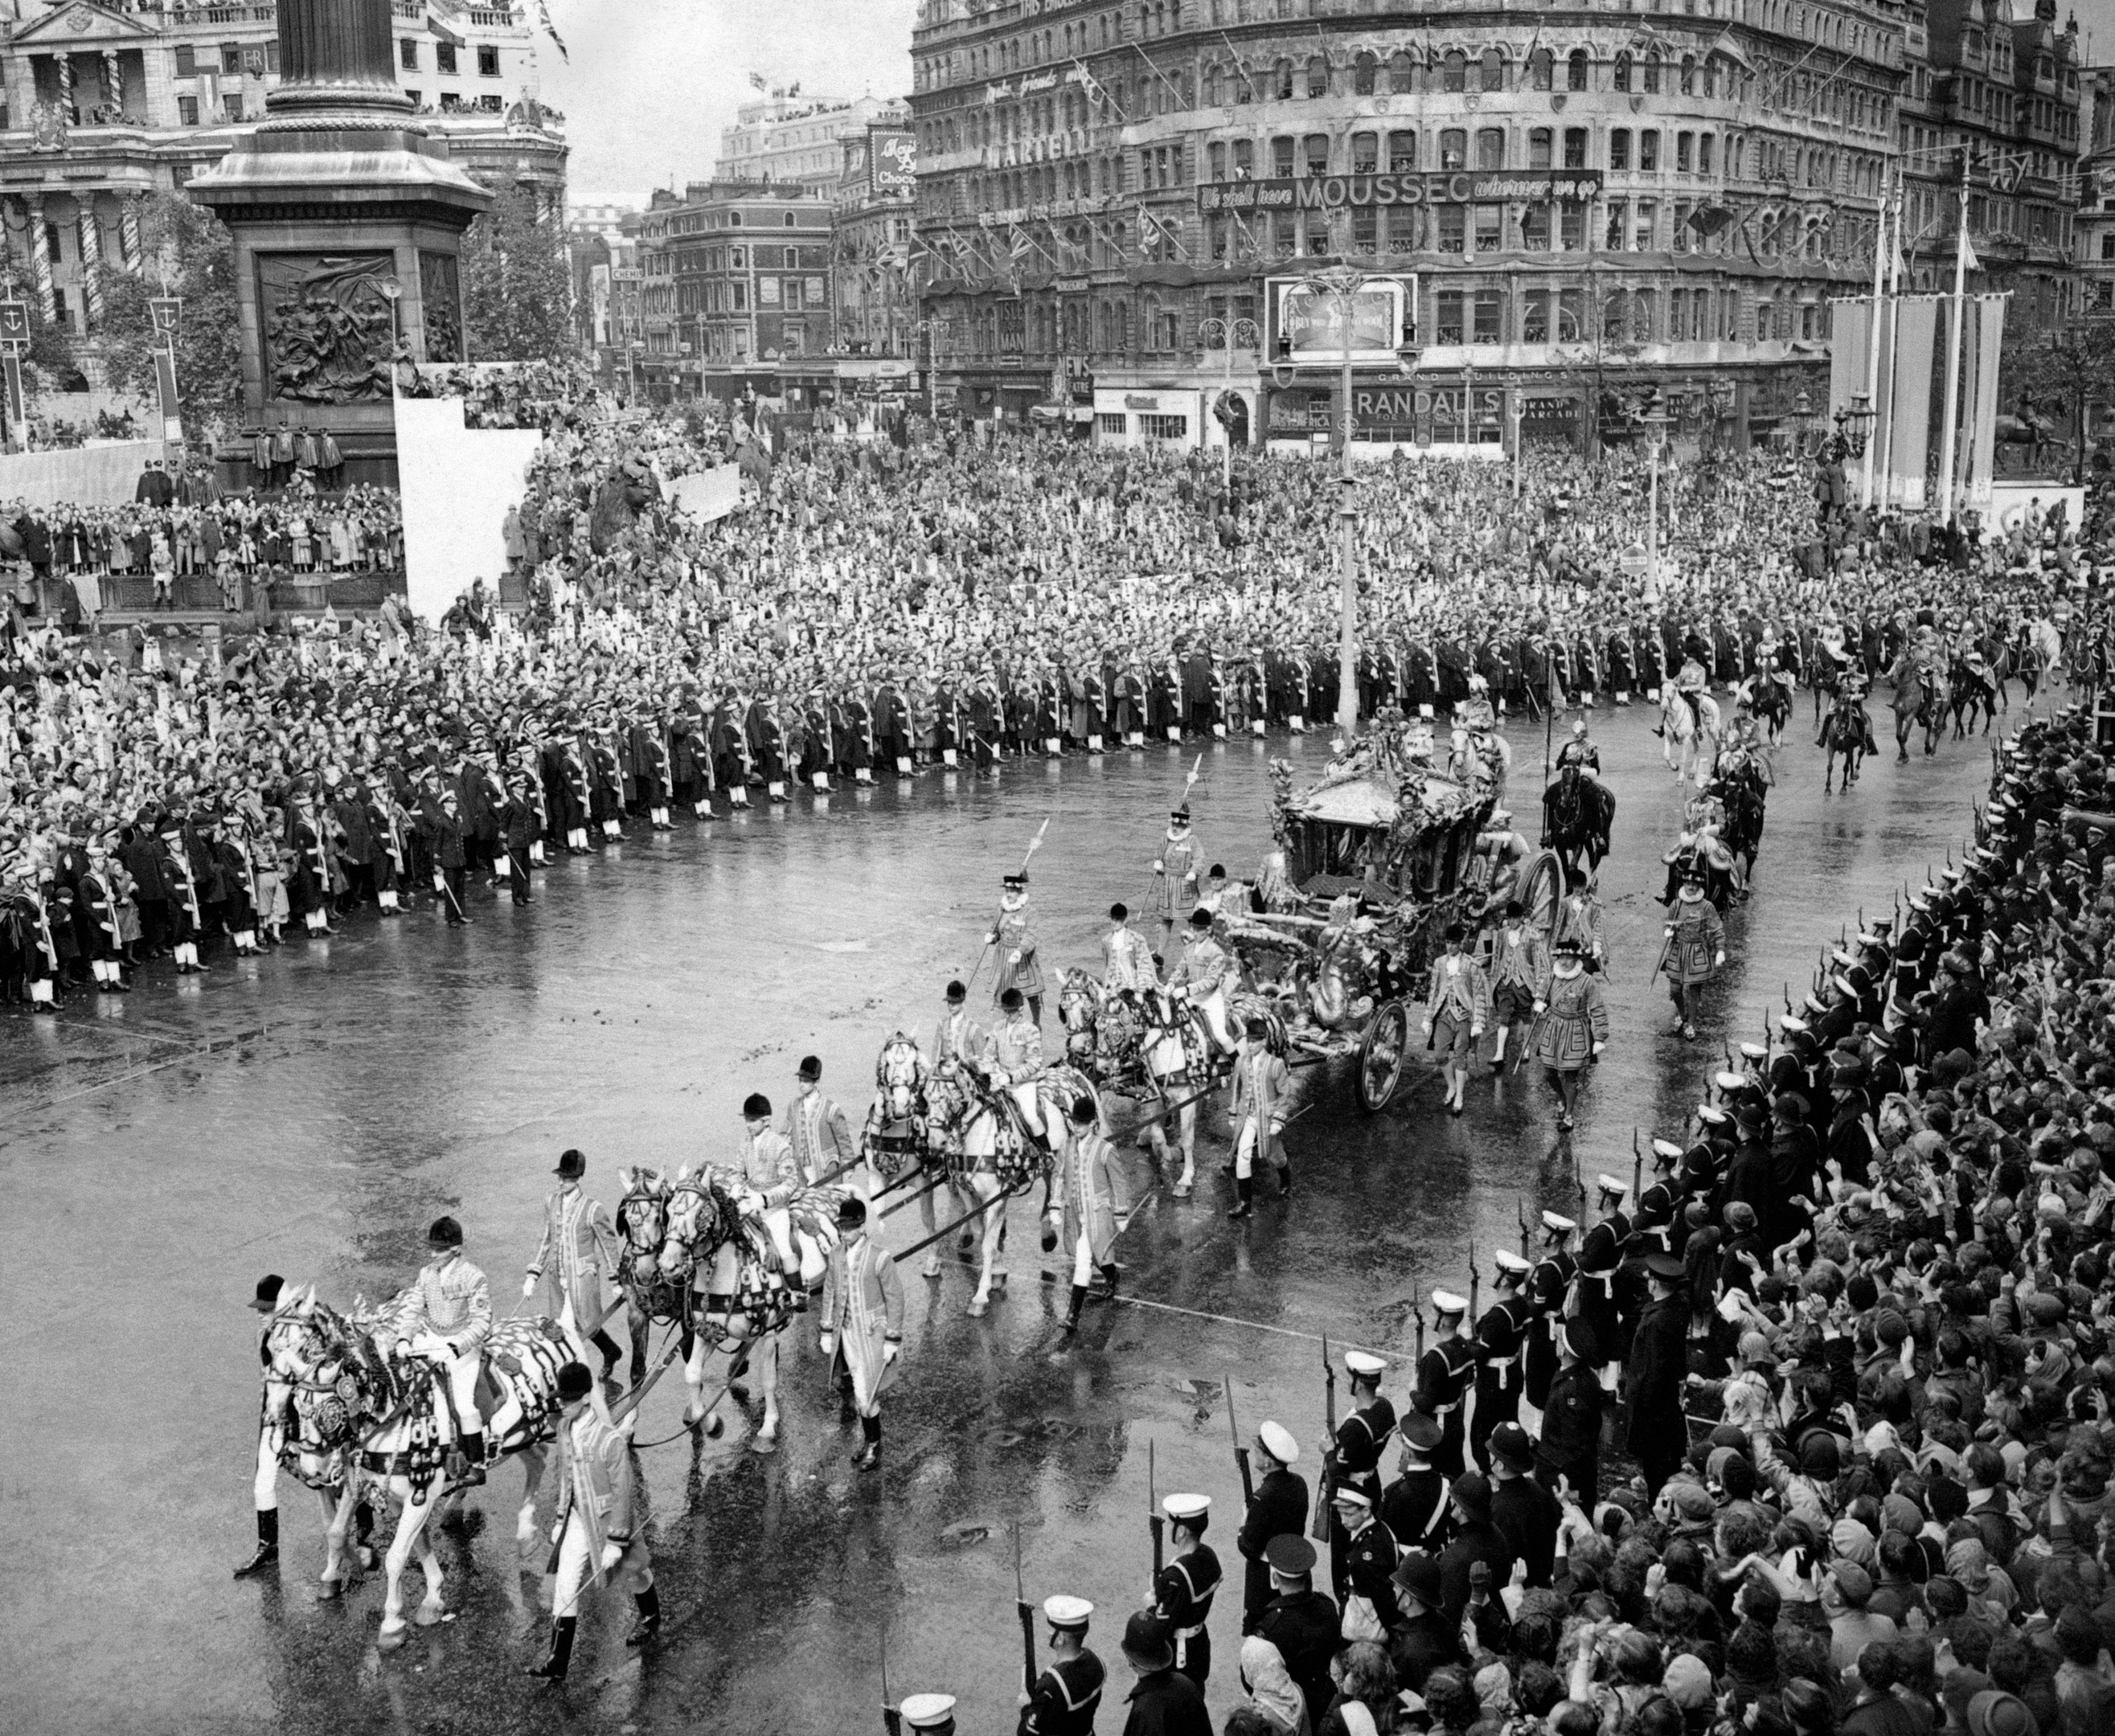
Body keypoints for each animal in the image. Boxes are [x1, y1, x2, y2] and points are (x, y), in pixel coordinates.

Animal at [264, 1285, 579, 1649]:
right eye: (299, 1406)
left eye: (329, 1412)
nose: (313, 1469)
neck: (393, 1410)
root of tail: (556, 1324)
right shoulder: (383, 1489)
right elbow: (351, 1534)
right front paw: (429, 1597)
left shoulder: (420, 1494)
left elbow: (396, 1556)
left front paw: (392, 1624)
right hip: (522, 1435)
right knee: (538, 1459)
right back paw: (526, 1533)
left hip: (563, 1421)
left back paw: (558, 1526)